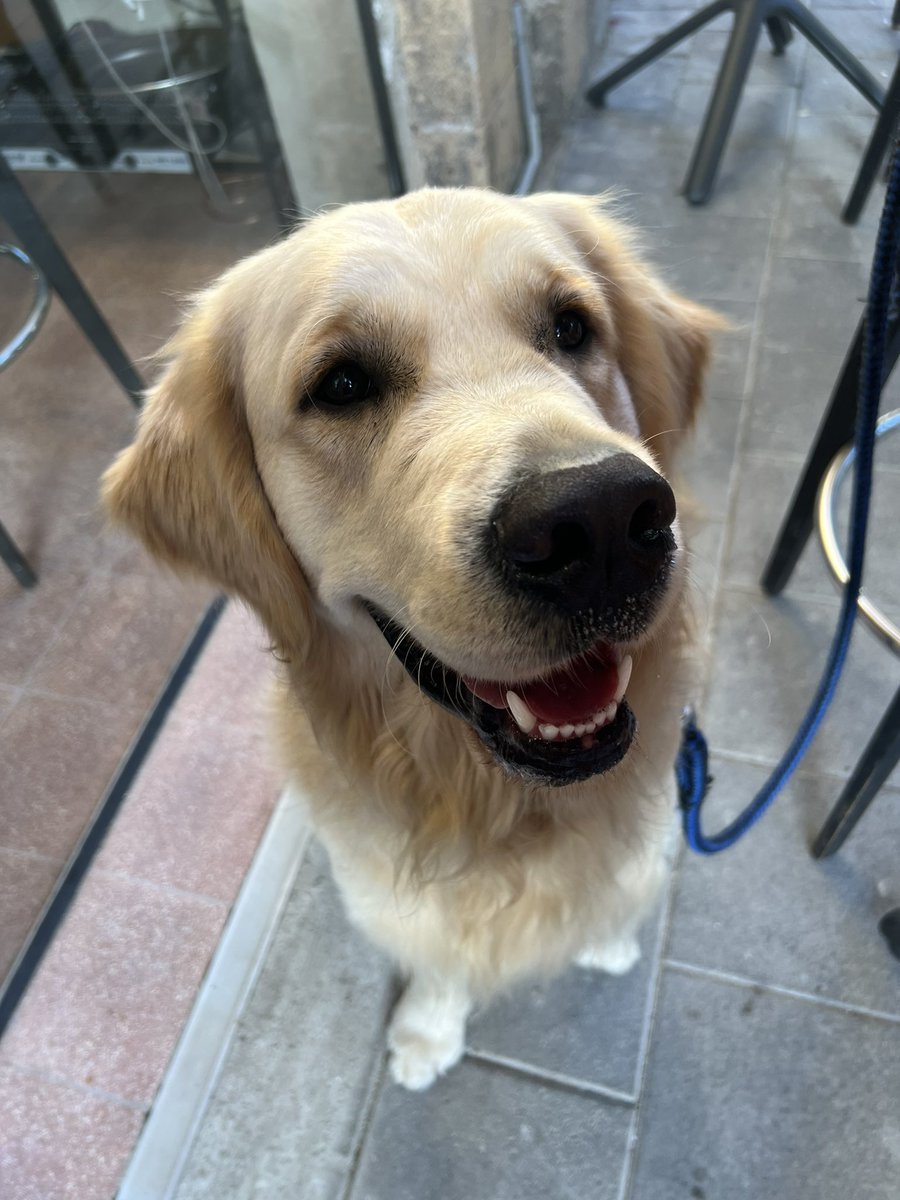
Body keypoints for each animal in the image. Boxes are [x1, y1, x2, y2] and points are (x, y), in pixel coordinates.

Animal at [105, 184, 724, 1089]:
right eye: (342, 383)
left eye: (572, 327)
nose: (603, 520)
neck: (498, 804)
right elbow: (438, 955)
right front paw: (429, 1030)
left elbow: (622, 884)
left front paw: (608, 936)